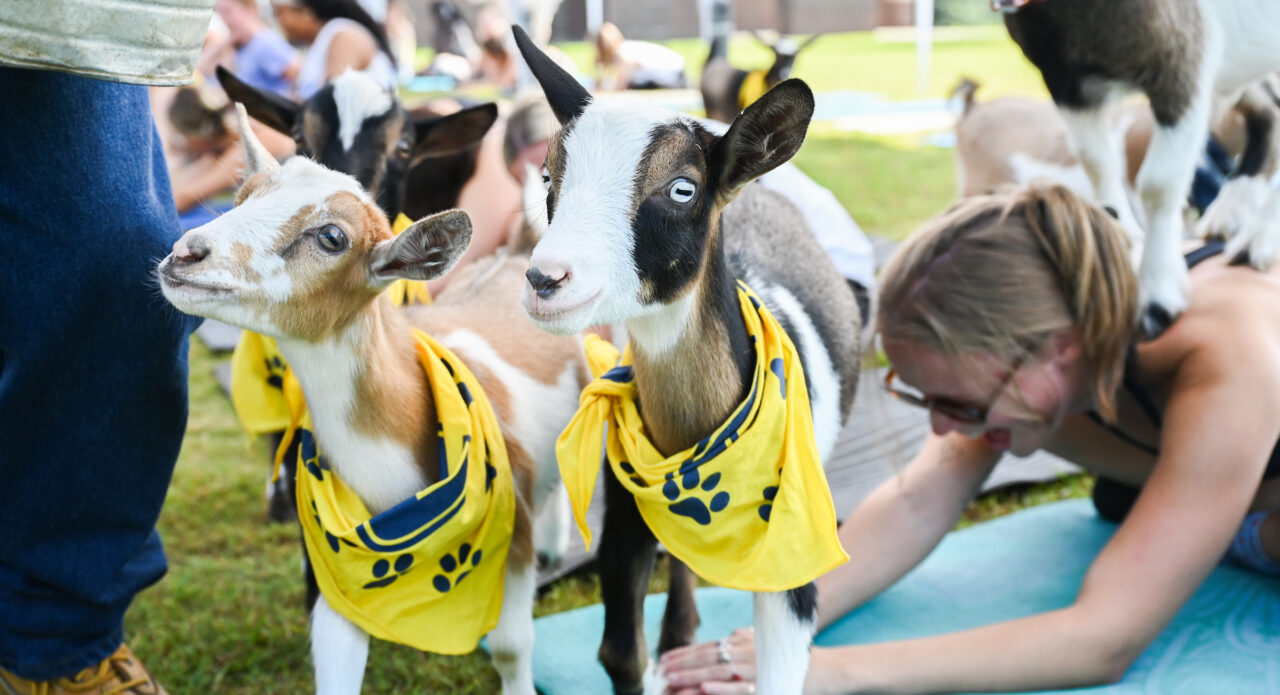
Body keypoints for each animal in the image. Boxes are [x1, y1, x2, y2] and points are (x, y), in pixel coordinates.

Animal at [158, 107, 584, 694]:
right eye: (241, 194)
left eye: (333, 237)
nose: (185, 253)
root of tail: (521, 249)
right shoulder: (341, 585)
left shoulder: (509, 535)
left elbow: (511, 647)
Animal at [514, 27, 860, 695]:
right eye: (547, 178)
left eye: (682, 188)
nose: (546, 280)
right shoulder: (625, 515)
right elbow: (621, 653)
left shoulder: (792, 551)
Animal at [1002, 0, 1280, 337]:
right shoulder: (1063, 79)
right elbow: (1096, 160)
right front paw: (1122, 244)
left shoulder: (1180, 61)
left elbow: (1159, 183)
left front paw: (1156, 292)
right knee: (1268, 106)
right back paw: (1232, 210)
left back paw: (1257, 237)